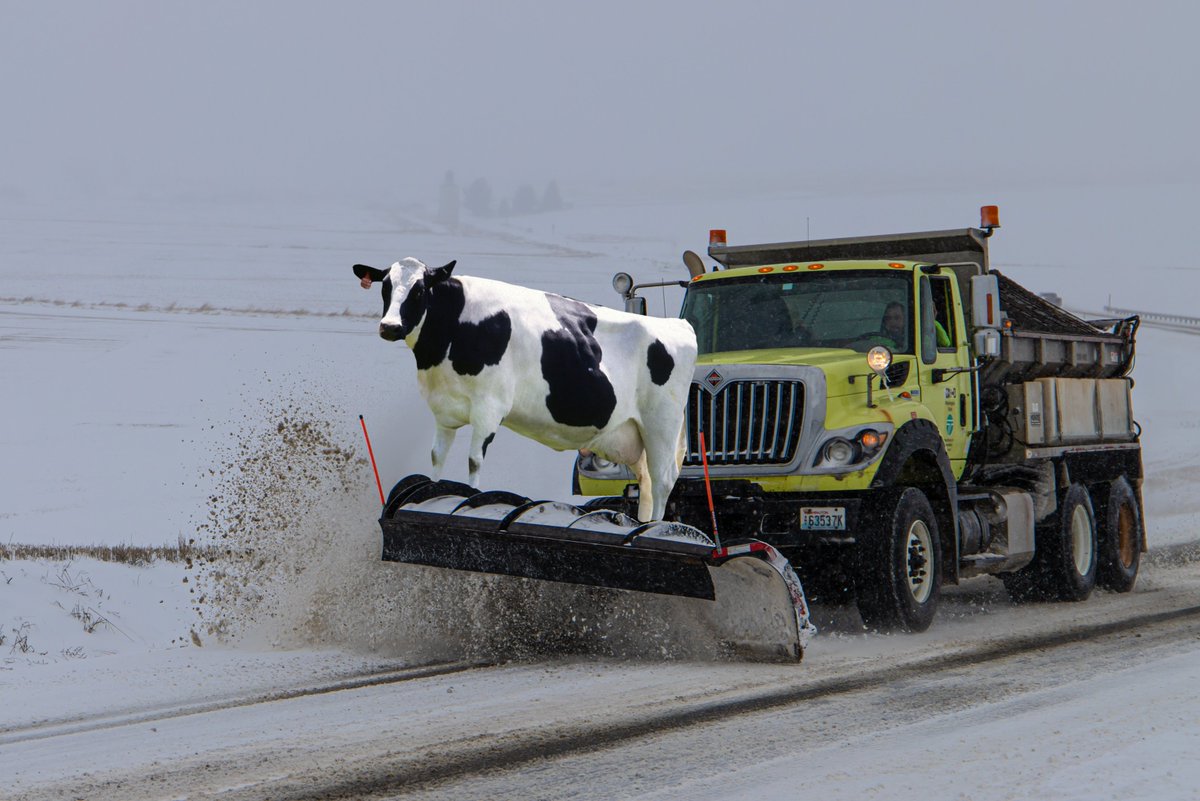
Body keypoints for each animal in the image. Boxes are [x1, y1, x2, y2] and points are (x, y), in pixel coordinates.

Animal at [354, 257, 698, 522]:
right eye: (385, 287)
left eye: (420, 289)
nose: (389, 327)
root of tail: (677, 325)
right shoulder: (443, 411)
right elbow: (436, 462)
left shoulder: (489, 407)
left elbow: (474, 462)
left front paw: (472, 499)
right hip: (632, 435)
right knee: (646, 483)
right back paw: (641, 524)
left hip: (662, 424)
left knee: (663, 480)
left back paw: (656, 528)